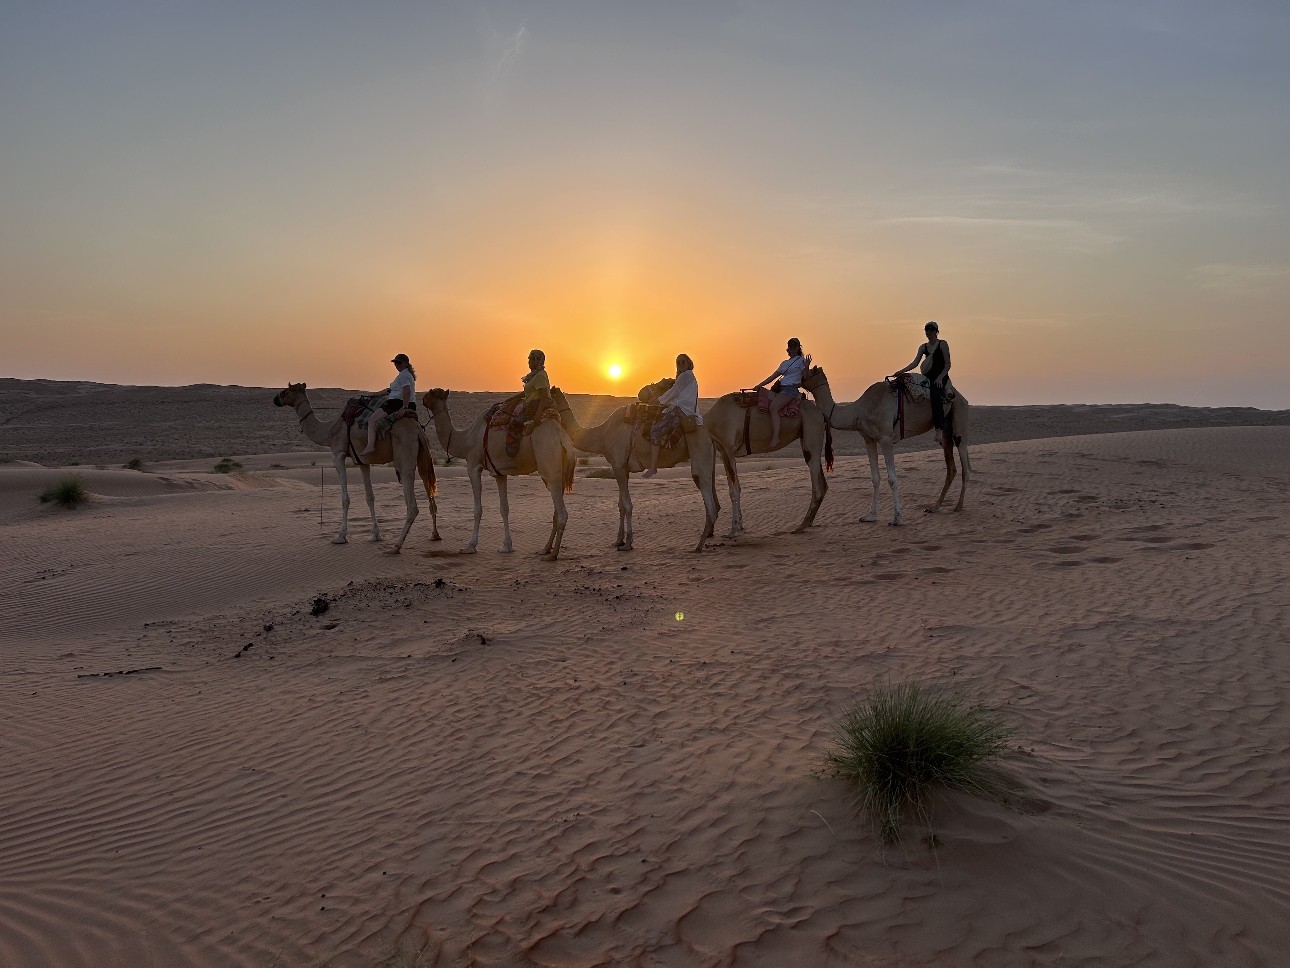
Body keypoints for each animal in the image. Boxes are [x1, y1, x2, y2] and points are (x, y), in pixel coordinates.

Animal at [273, 383, 440, 550]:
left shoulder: (338, 454)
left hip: (404, 455)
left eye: (285, 390)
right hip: (423, 456)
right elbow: (370, 497)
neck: (328, 430)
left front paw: (341, 536)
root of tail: (418, 430)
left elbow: (345, 498)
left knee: (412, 504)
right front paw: (375, 535)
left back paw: (396, 546)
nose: (275, 399)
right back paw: (435, 535)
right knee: (429, 489)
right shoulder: (362, 461)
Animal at [422, 388, 575, 560]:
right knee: (556, 512)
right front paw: (506, 546)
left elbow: (477, 509)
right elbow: (504, 508)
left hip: (550, 466)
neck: (465, 439)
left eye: (429, 394)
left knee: (562, 514)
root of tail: (563, 439)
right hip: (560, 472)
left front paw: (470, 546)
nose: (422, 398)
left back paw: (552, 555)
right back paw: (545, 549)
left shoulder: (473, 466)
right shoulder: (499, 473)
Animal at [550, 389, 721, 553]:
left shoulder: (618, 465)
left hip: (699, 448)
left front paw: (628, 543)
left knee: (707, 497)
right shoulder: (622, 468)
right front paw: (619, 540)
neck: (602, 434)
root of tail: (709, 436)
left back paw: (699, 546)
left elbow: (628, 505)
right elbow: (621, 505)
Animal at [702, 366, 835, 537]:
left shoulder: (728, 448)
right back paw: (808, 522)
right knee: (823, 483)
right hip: (806, 438)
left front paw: (734, 529)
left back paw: (800, 527)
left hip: (812, 433)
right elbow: (733, 487)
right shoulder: (722, 451)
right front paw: (739, 525)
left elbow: (734, 489)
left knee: (817, 485)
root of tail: (821, 414)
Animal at [808, 372, 971, 525]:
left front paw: (897, 519)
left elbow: (892, 479)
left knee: (965, 462)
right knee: (951, 467)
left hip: (959, 415)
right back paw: (934, 507)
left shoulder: (886, 438)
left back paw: (958, 506)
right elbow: (875, 478)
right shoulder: (869, 438)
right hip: (945, 429)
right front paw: (869, 516)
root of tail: (960, 395)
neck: (860, 409)